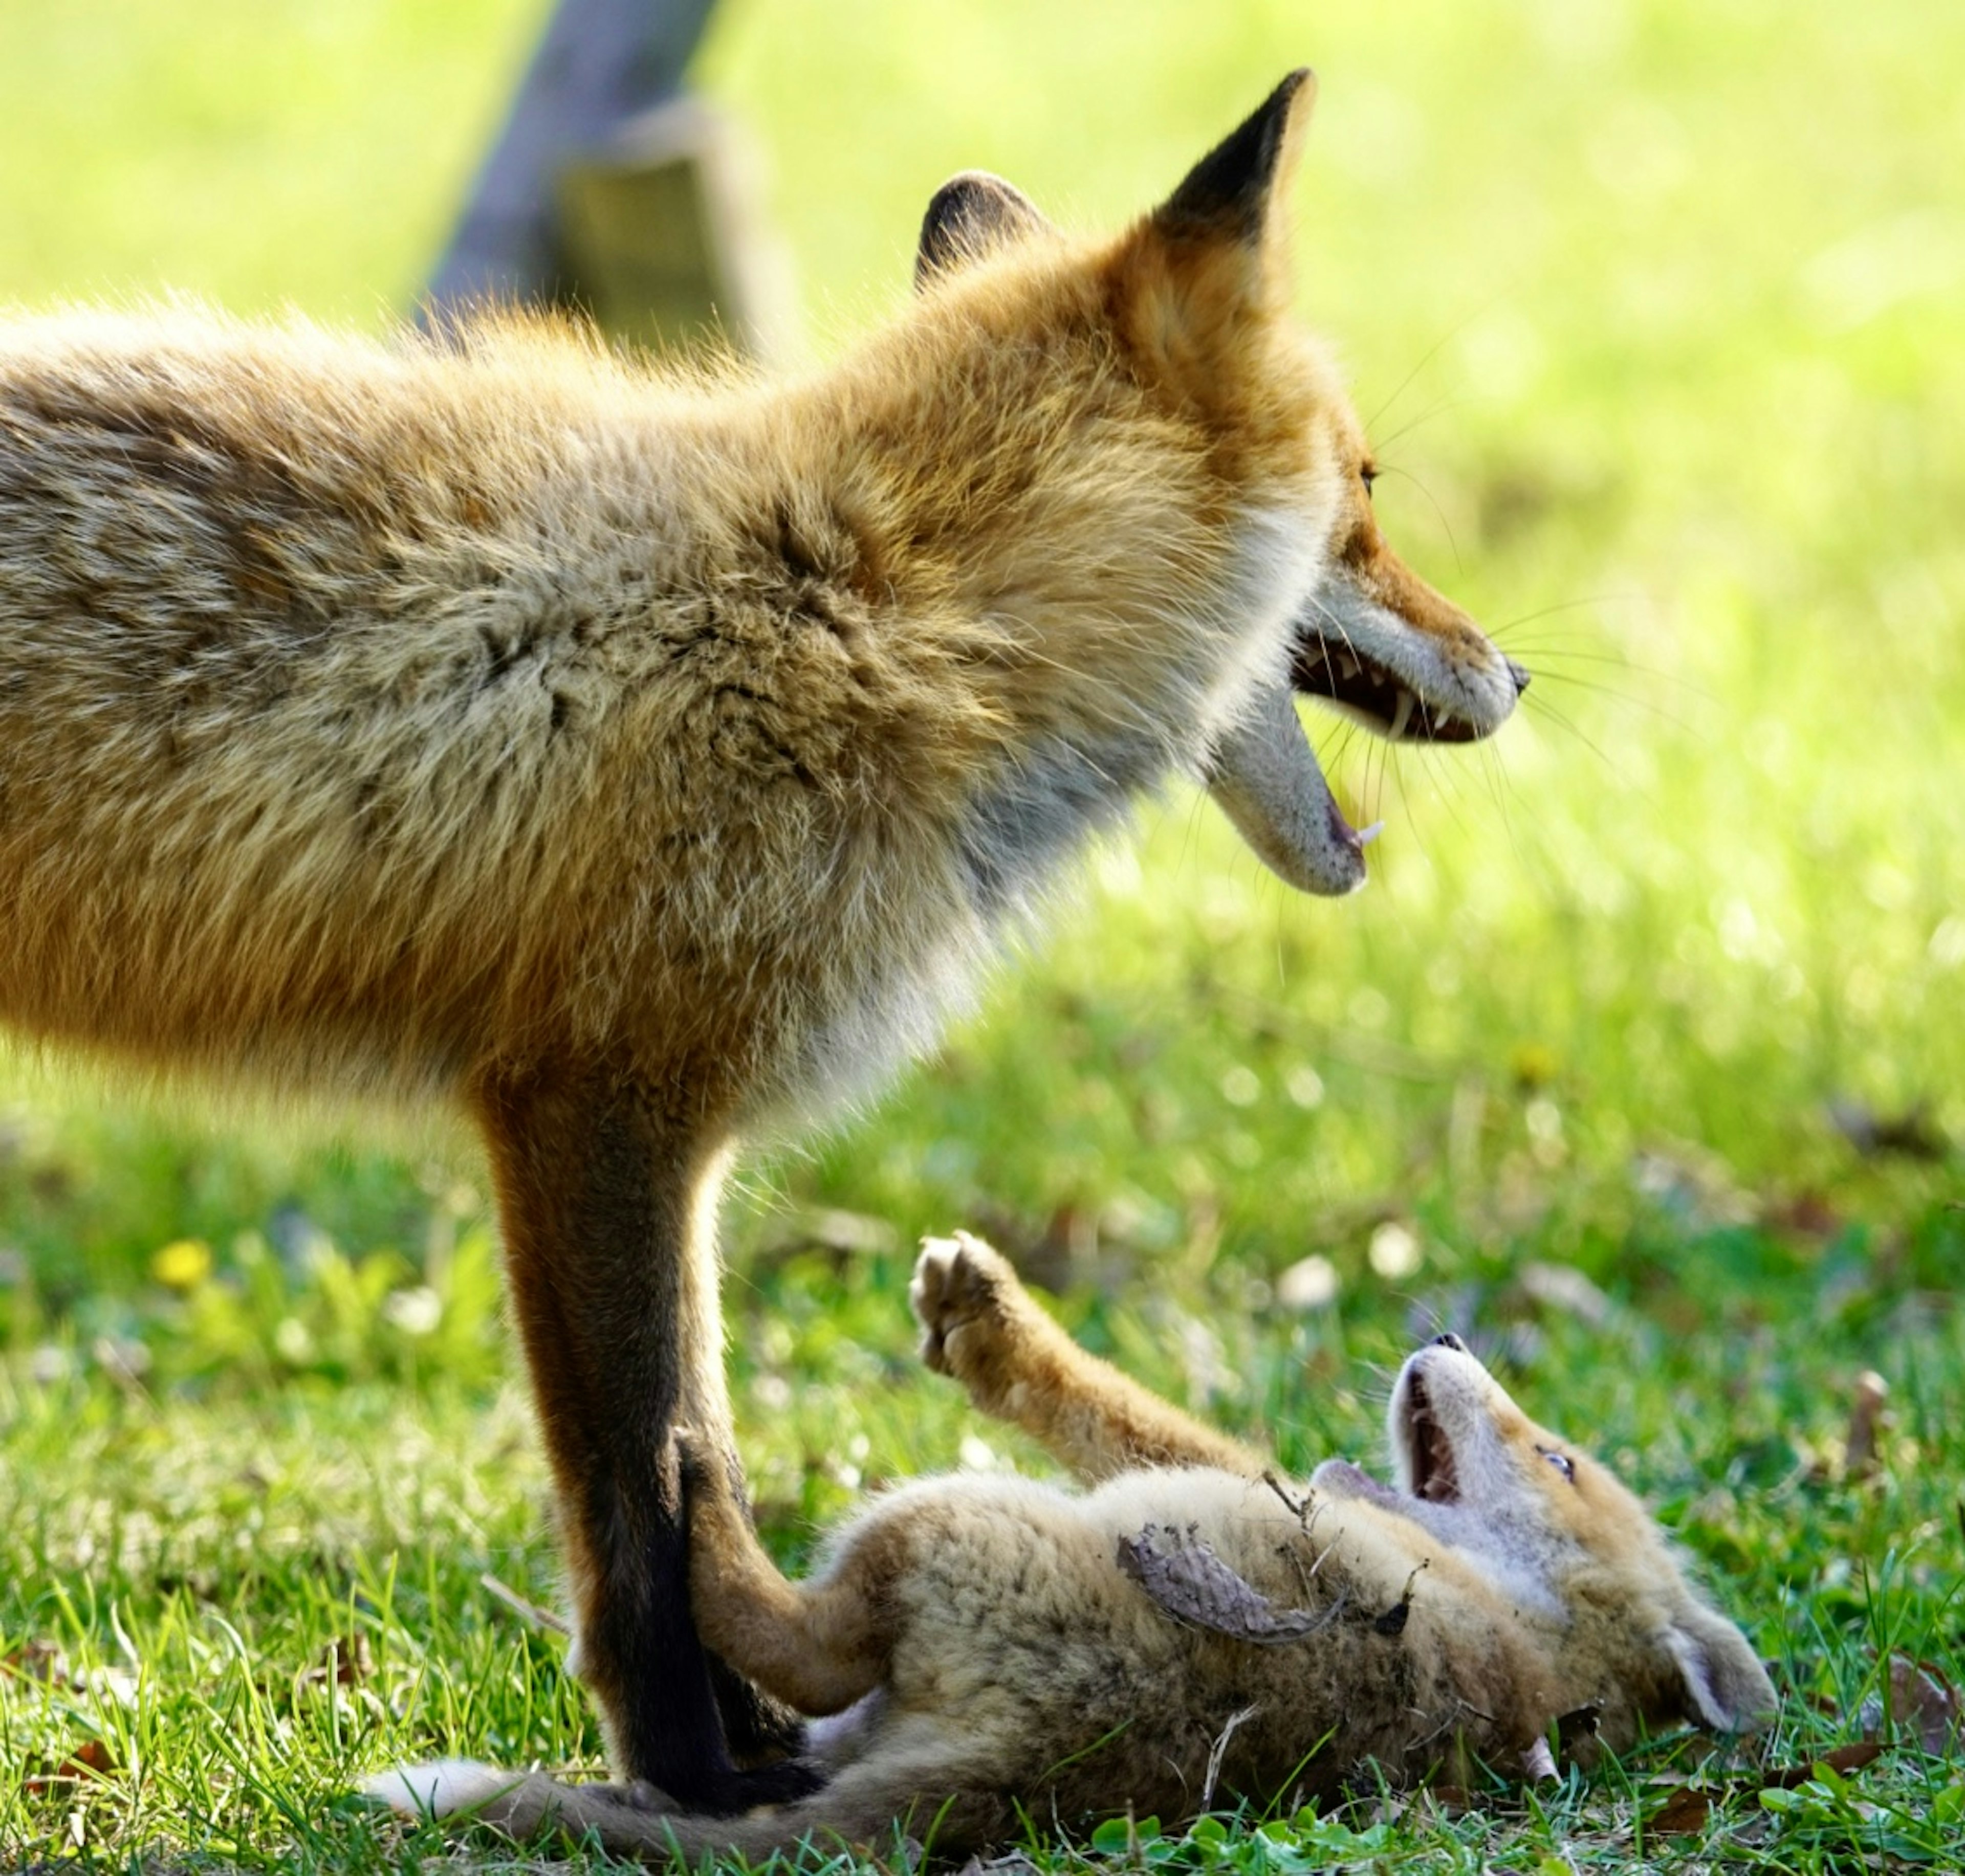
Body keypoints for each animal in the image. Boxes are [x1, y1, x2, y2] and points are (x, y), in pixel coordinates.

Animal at [0, 73, 1524, 1807]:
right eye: (1367, 489)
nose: (1519, 672)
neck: (864, 602)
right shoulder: (595, 1104)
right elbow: (640, 1486)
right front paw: (697, 1776)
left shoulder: (660, 1130)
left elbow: (692, 1445)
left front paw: (747, 1746)